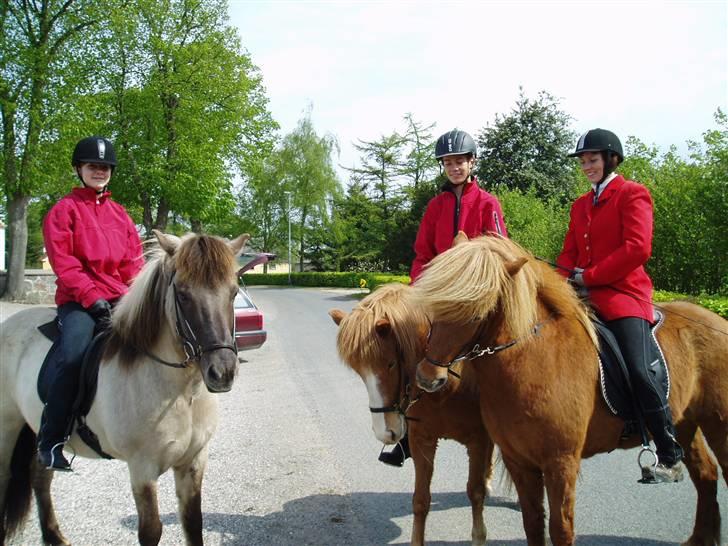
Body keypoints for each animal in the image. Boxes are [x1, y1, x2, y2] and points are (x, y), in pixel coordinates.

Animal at [0, 231, 249, 544]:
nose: (222, 372)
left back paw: (54, 535)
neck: (183, 394)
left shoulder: (193, 461)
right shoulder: (142, 468)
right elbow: (151, 530)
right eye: (182, 294)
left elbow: (193, 522)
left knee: (40, 477)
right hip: (7, 429)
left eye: (233, 293)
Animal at [332, 280, 498, 544]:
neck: (446, 386)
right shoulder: (422, 440)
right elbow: (420, 500)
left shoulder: (477, 440)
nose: (385, 432)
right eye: (359, 371)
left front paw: (479, 535)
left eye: (390, 364)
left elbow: (475, 492)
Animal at [412, 234, 724, 544]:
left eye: (477, 314)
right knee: (706, 475)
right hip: (685, 422)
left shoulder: (560, 463)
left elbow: (561, 529)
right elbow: (533, 522)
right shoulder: (519, 461)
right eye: (435, 304)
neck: (533, 357)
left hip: (718, 424)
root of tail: (717, 321)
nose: (428, 378)